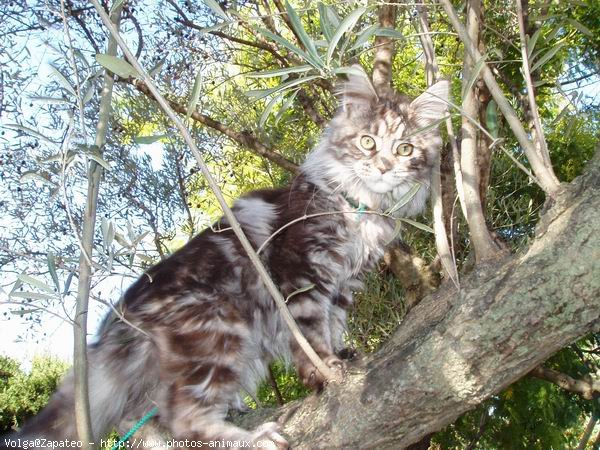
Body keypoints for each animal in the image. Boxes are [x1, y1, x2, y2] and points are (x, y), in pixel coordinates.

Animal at [3, 67, 446, 450]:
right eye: (368, 141)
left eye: (405, 148)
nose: (384, 167)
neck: (360, 209)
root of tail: (121, 316)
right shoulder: (301, 273)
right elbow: (311, 332)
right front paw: (325, 368)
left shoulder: (343, 283)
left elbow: (335, 322)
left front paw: (343, 353)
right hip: (218, 330)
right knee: (186, 419)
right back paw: (255, 439)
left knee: (148, 421)